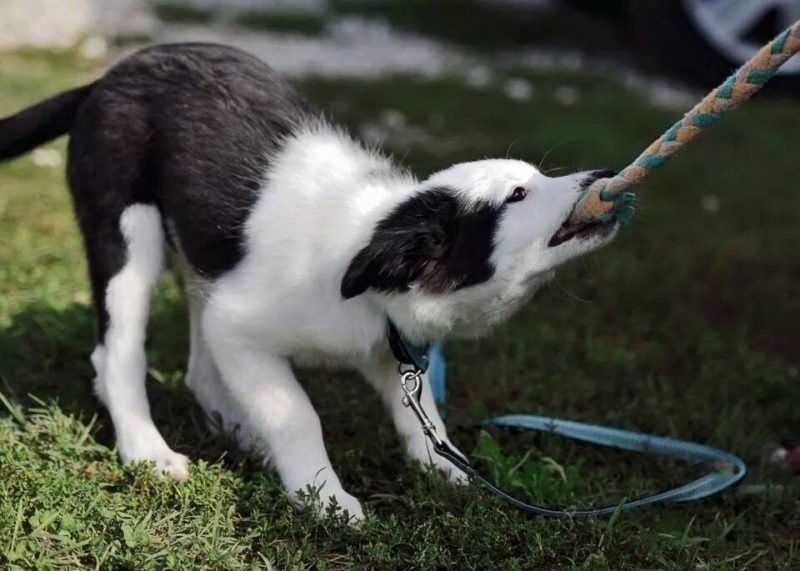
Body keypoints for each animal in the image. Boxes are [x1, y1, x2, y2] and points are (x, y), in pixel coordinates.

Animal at [0, 44, 620, 520]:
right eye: (517, 195)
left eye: (535, 177)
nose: (607, 174)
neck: (366, 273)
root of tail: (107, 78)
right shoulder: (239, 325)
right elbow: (297, 412)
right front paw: (323, 497)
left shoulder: (387, 349)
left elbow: (419, 413)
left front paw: (447, 472)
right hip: (127, 233)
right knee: (117, 354)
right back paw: (148, 451)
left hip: (202, 261)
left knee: (200, 370)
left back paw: (244, 435)